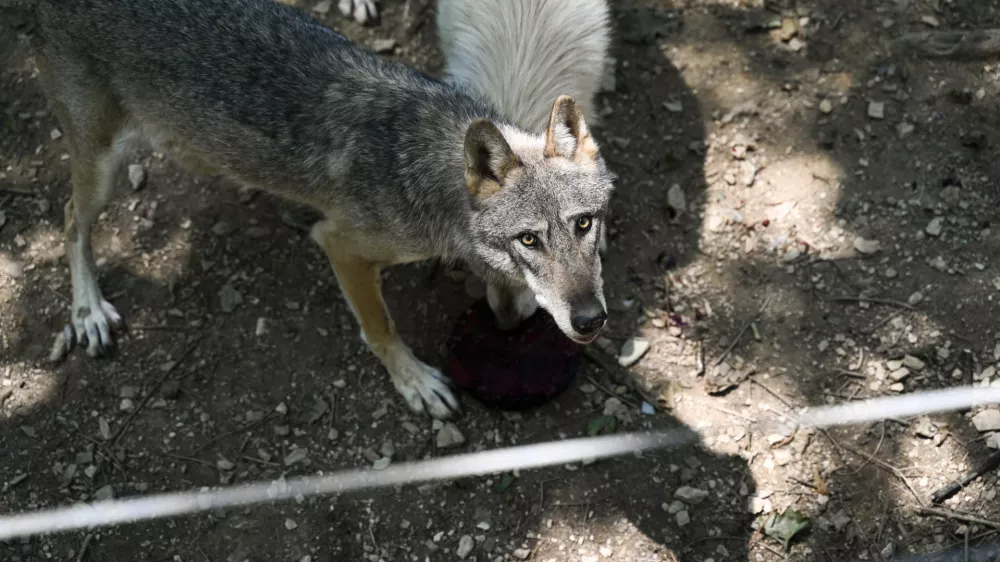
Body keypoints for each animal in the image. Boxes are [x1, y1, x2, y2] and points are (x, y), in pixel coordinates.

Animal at [11, 0, 612, 416]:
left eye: (585, 225)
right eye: (527, 241)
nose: (589, 321)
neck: (421, 167)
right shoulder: (342, 248)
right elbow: (381, 329)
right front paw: (415, 383)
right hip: (103, 167)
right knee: (70, 222)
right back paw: (87, 313)